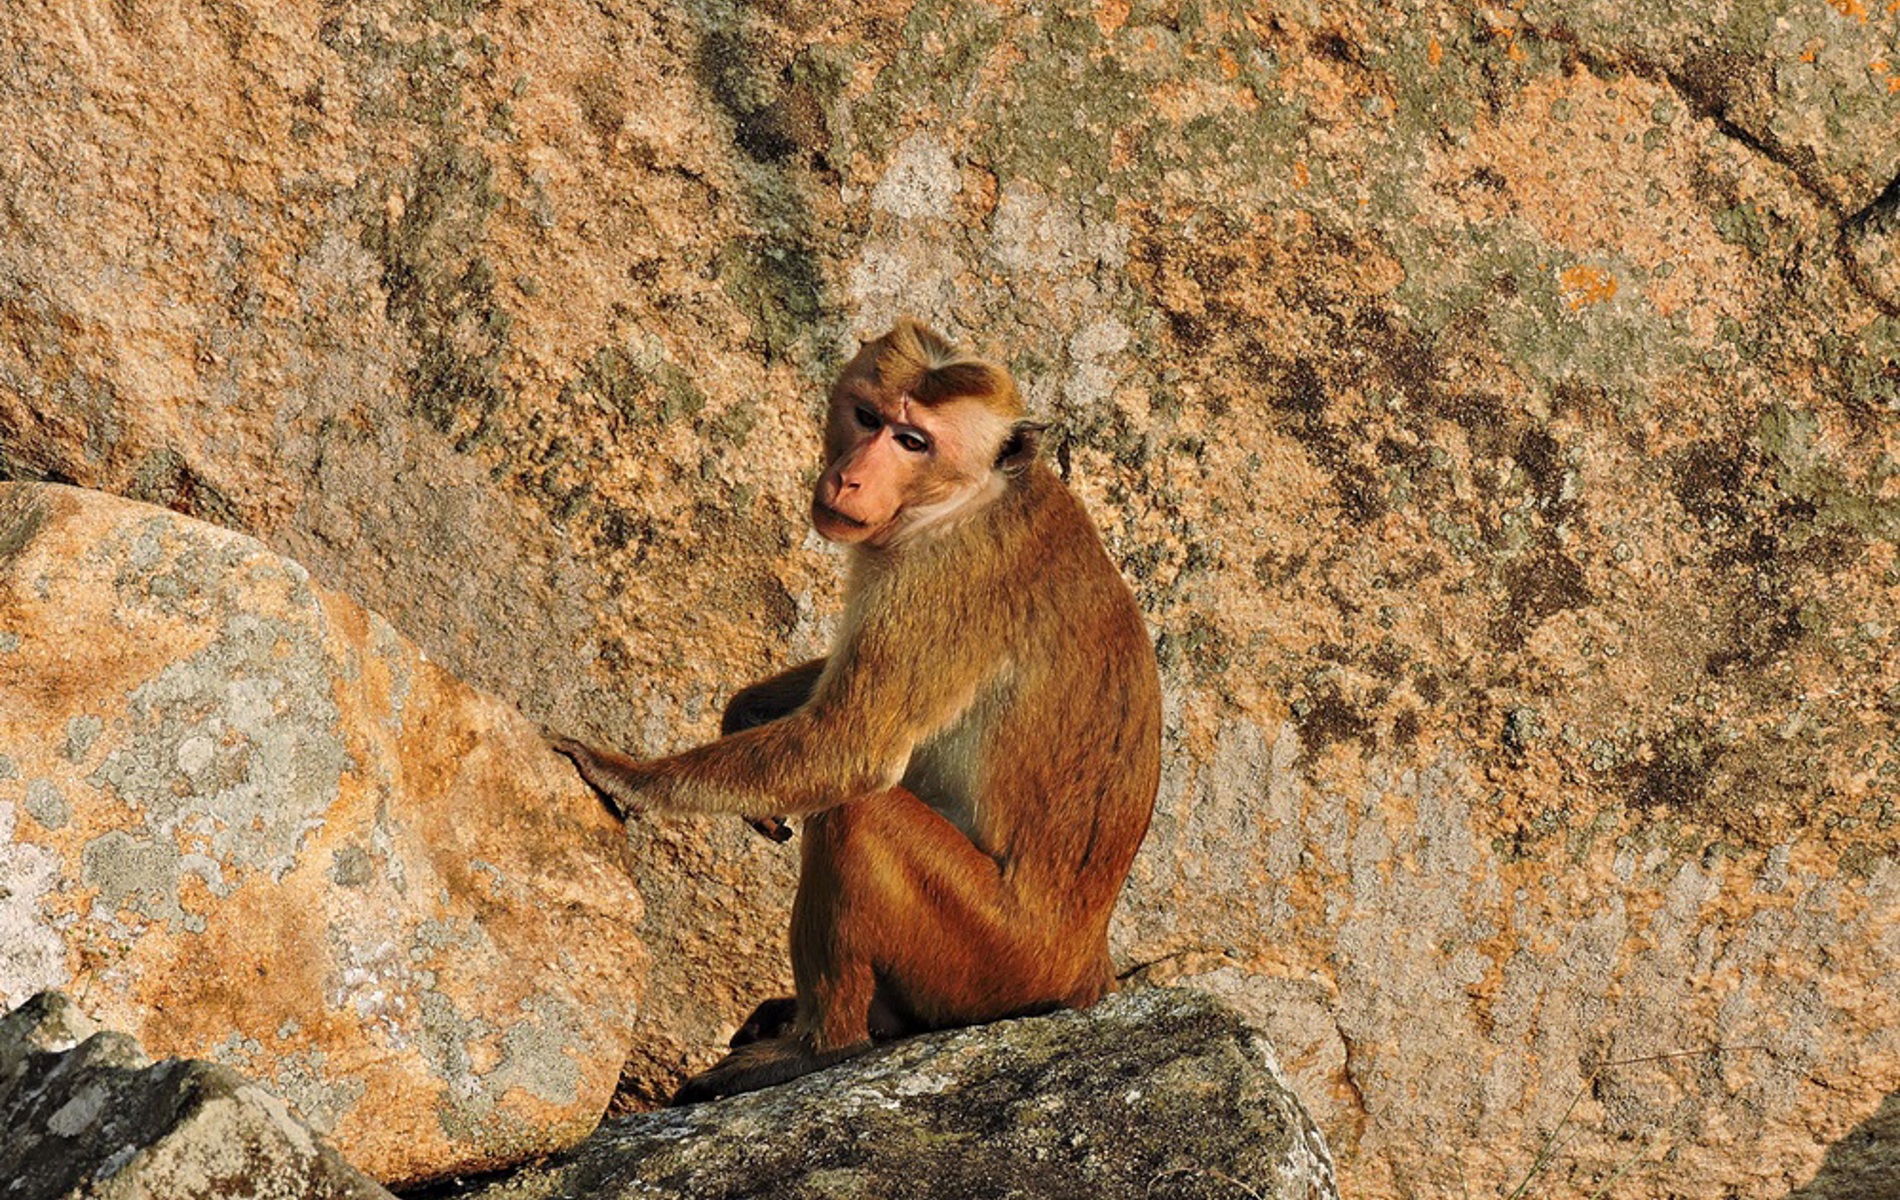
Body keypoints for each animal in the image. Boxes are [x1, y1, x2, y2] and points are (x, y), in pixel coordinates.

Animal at [551, 318, 1161, 1104]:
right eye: (867, 418)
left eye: (914, 441)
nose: (850, 477)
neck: (969, 496)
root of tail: (1088, 968)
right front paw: (743, 713)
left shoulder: (939, 578)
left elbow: (851, 747)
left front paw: (624, 773)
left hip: (995, 958)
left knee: (857, 815)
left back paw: (821, 1044)